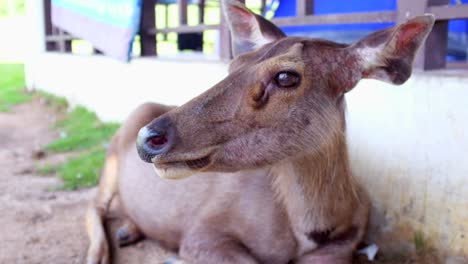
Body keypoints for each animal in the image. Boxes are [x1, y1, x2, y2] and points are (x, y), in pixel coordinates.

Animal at [85, 1, 436, 262]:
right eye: (234, 65)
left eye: (286, 76)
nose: (150, 138)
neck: (309, 232)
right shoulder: (202, 231)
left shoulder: (350, 238)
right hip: (111, 157)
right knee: (95, 204)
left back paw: (128, 231)